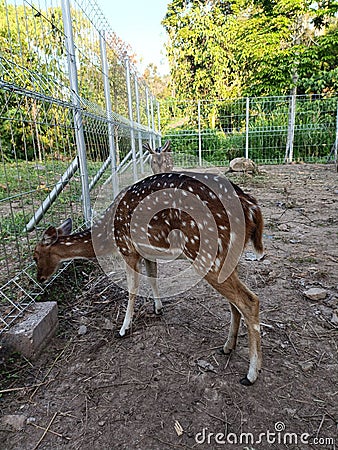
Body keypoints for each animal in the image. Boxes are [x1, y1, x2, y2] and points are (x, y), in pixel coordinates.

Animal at [33, 171, 264, 384]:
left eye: (35, 256)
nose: (40, 278)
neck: (107, 236)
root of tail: (252, 208)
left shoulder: (127, 249)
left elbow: (132, 289)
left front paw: (123, 329)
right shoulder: (146, 252)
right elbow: (153, 276)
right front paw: (158, 308)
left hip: (209, 253)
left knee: (249, 300)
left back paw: (251, 374)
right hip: (227, 257)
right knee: (235, 303)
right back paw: (227, 347)